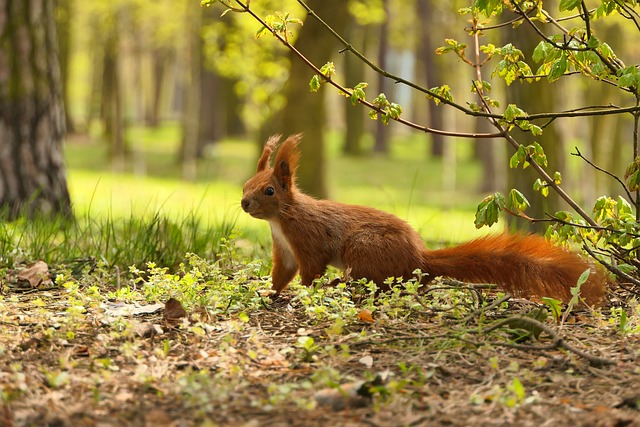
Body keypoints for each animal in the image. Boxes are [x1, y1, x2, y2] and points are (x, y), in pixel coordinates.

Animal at [240, 135, 604, 306]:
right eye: (245, 184)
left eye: (269, 190)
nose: (244, 202)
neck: (283, 219)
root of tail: (419, 260)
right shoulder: (284, 250)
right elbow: (281, 275)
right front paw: (269, 292)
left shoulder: (310, 241)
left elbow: (310, 272)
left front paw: (302, 293)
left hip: (364, 249)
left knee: (376, 284)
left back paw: (342, 285)